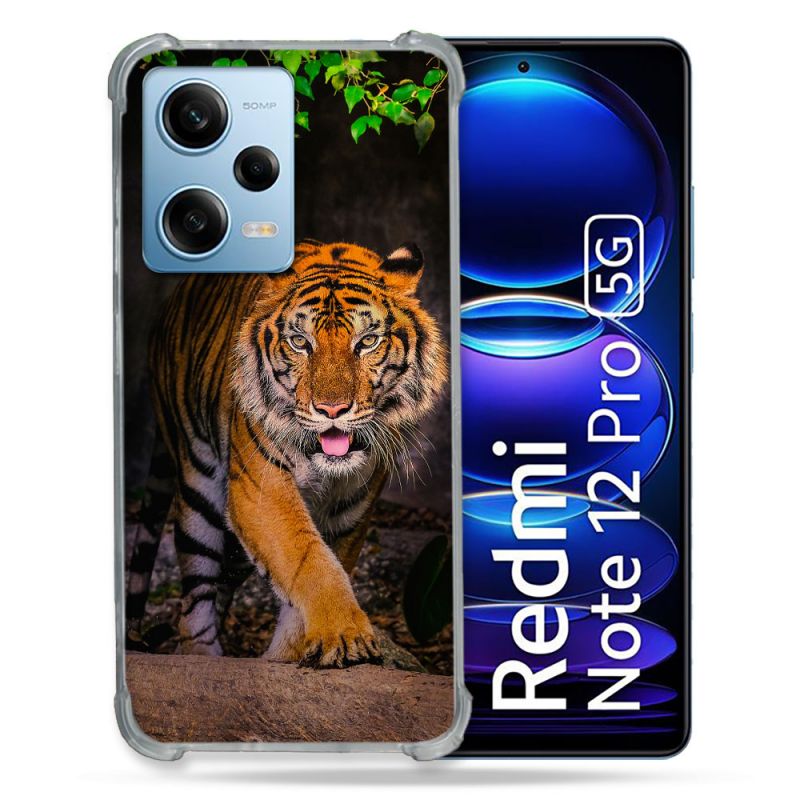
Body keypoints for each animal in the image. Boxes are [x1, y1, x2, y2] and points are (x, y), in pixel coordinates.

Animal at [125, 240, 447, 668]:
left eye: (367, 342)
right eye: (300, 343)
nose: (331, 409)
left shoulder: (352, 510)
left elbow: (321, 567)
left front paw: (290, 654)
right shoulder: (260, 489)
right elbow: (309, 560)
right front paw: (345, 635)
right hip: (199, 489)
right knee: (196, 595)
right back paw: (202, 654)